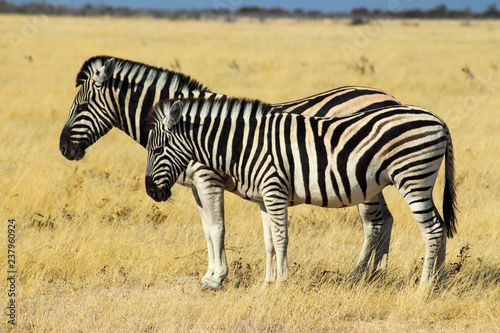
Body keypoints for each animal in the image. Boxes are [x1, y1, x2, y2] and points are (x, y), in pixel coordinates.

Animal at [59, 55, 402, 288]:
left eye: (81, 106)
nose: (64, 149)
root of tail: (388, 96)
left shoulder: (207, 179)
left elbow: (217, 228)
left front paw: (216, 279)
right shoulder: (197, 186)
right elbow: (207, 228)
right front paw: (212, 274)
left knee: (373, 222)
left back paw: (358, 275)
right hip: (373, 181)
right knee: (386, 219)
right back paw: (377, 275)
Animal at [144, 95, 458, 286]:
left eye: (156, 149)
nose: (150, 192)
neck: (245, 144)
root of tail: (438, 119)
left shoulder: (274, 189)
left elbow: (281, 238)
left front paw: (282, 282)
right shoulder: (264, 198)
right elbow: (269, 241)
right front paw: (268, 283)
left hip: (413, 178)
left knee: (431, 229)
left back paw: (423, 287)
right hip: (419, 180)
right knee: (440, 226)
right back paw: (439, 282)